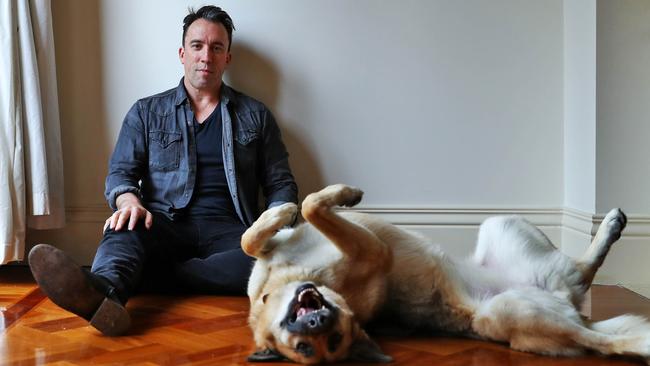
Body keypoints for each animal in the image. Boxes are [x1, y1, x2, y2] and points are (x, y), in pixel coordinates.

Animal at [239, 184, 648, 364]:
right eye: (307, 347)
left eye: (332, 338)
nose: (315, 322)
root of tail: (567, 302)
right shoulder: (374, 250)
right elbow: (311, 206)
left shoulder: (277, 250)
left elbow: (254, 237)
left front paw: (283, 210)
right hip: (512, 310)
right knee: (602, 336)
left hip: (504, 226)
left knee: (581, 272)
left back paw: (611, 225)